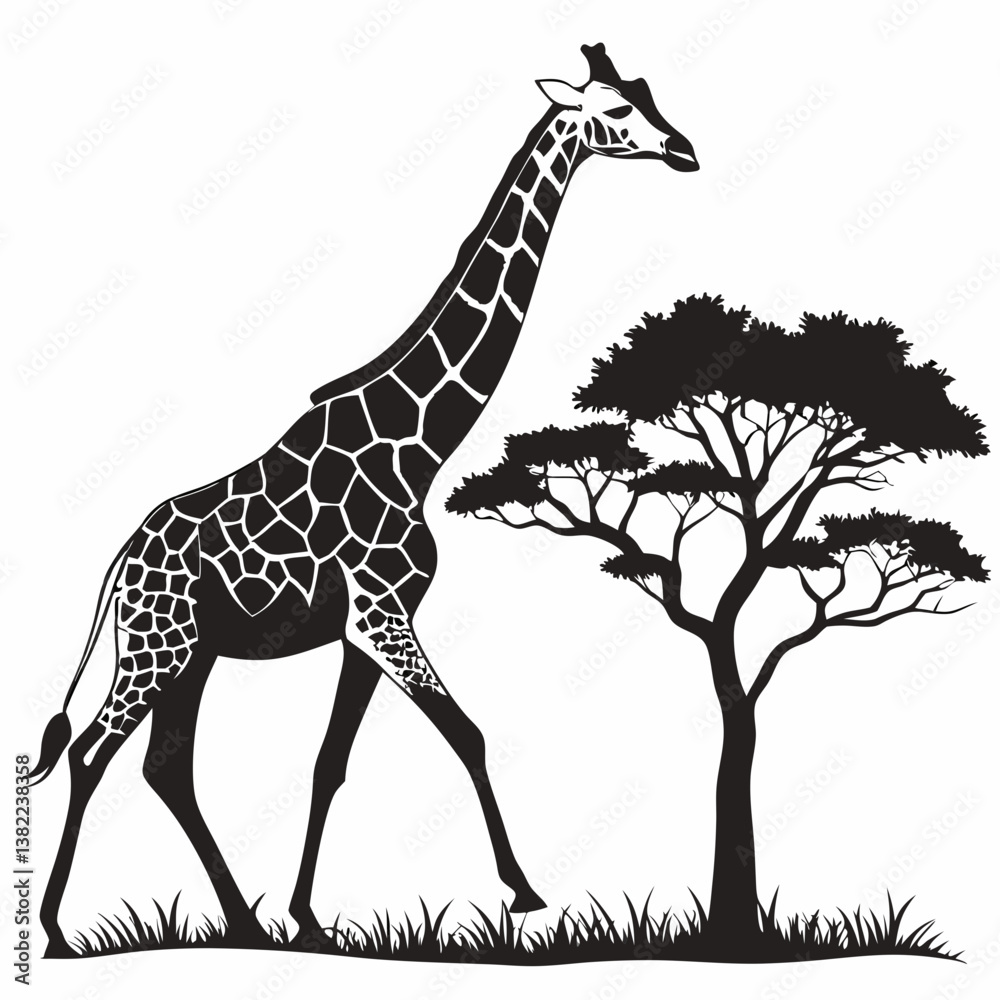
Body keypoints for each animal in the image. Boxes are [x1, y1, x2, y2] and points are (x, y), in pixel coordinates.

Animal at [30, 43, 698, 957]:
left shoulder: (366, 626)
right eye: (617, 111)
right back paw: (57, 931)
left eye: (649, 95)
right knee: (93, 751)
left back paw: (243, 920)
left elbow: (330, 763)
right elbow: (467, 733)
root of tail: (120, 565)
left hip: (194, 654)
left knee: (166, 766)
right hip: (157, 647)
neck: (419, 447)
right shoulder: (381, 614)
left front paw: (307, 915)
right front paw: (524, 891)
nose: (685, 151)